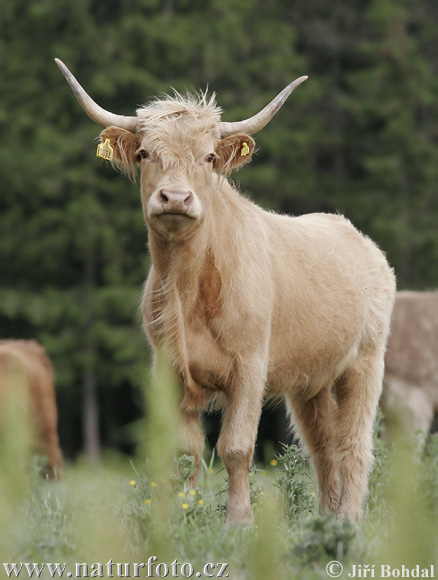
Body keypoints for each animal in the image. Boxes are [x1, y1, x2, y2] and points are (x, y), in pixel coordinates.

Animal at [56, 60, 396, 524]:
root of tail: (358, 237)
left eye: (209, 157)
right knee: (323, 445)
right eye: (145, 154)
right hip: (312, 380)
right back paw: (324, 519)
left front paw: (239, 520)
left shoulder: (250, 367)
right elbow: (187, 452)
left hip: (364, 362)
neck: (187, 290)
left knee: (354, 444)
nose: (175, 197)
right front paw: (184, 517)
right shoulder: (168, 369)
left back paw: (347, 520)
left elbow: (235, 447)